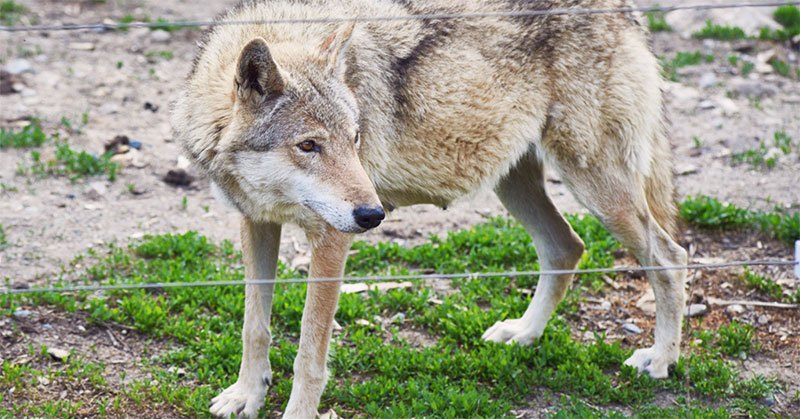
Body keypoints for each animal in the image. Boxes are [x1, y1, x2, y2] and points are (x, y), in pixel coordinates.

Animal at [170, 0, 688, 416]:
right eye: (309, 145)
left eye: (354, 139)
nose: (372, 216)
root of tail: (626, 10)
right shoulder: (256, 222)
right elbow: (253, 328)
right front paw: (246, 396)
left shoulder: (331, 240)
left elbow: (309, 355)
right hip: (516, 185)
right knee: (567, 248)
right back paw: (523, 334)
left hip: (598, 191)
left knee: (670, 257)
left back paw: (661, 359)